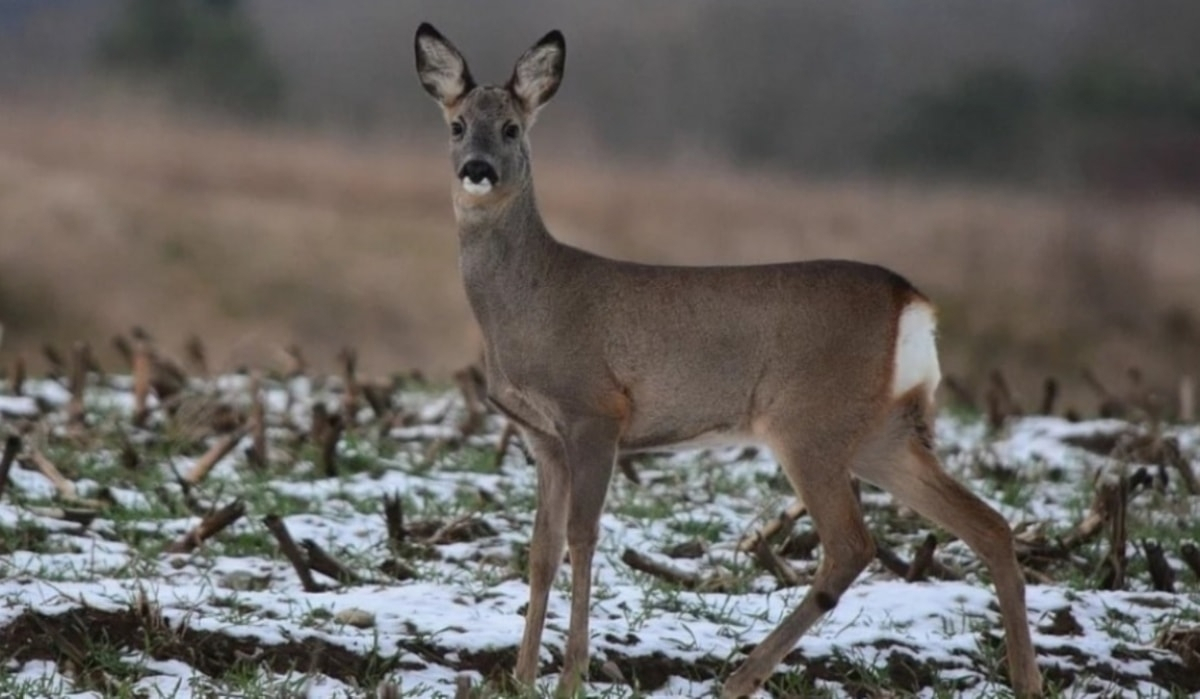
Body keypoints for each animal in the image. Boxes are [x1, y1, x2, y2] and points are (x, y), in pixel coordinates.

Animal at [412, 21, 1041, 699]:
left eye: (511, 128)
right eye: (456, 125)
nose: (477, 170)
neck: (531, 301)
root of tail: (913, 302)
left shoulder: (595, 411)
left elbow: (582, 537)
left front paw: (570, 676)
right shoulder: (541, 435)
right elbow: (540, 549)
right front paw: (521, 677)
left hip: (809, 421)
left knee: (853, 544)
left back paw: (740, 677)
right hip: (883, 431)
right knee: (988, 524)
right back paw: (1028, 680)